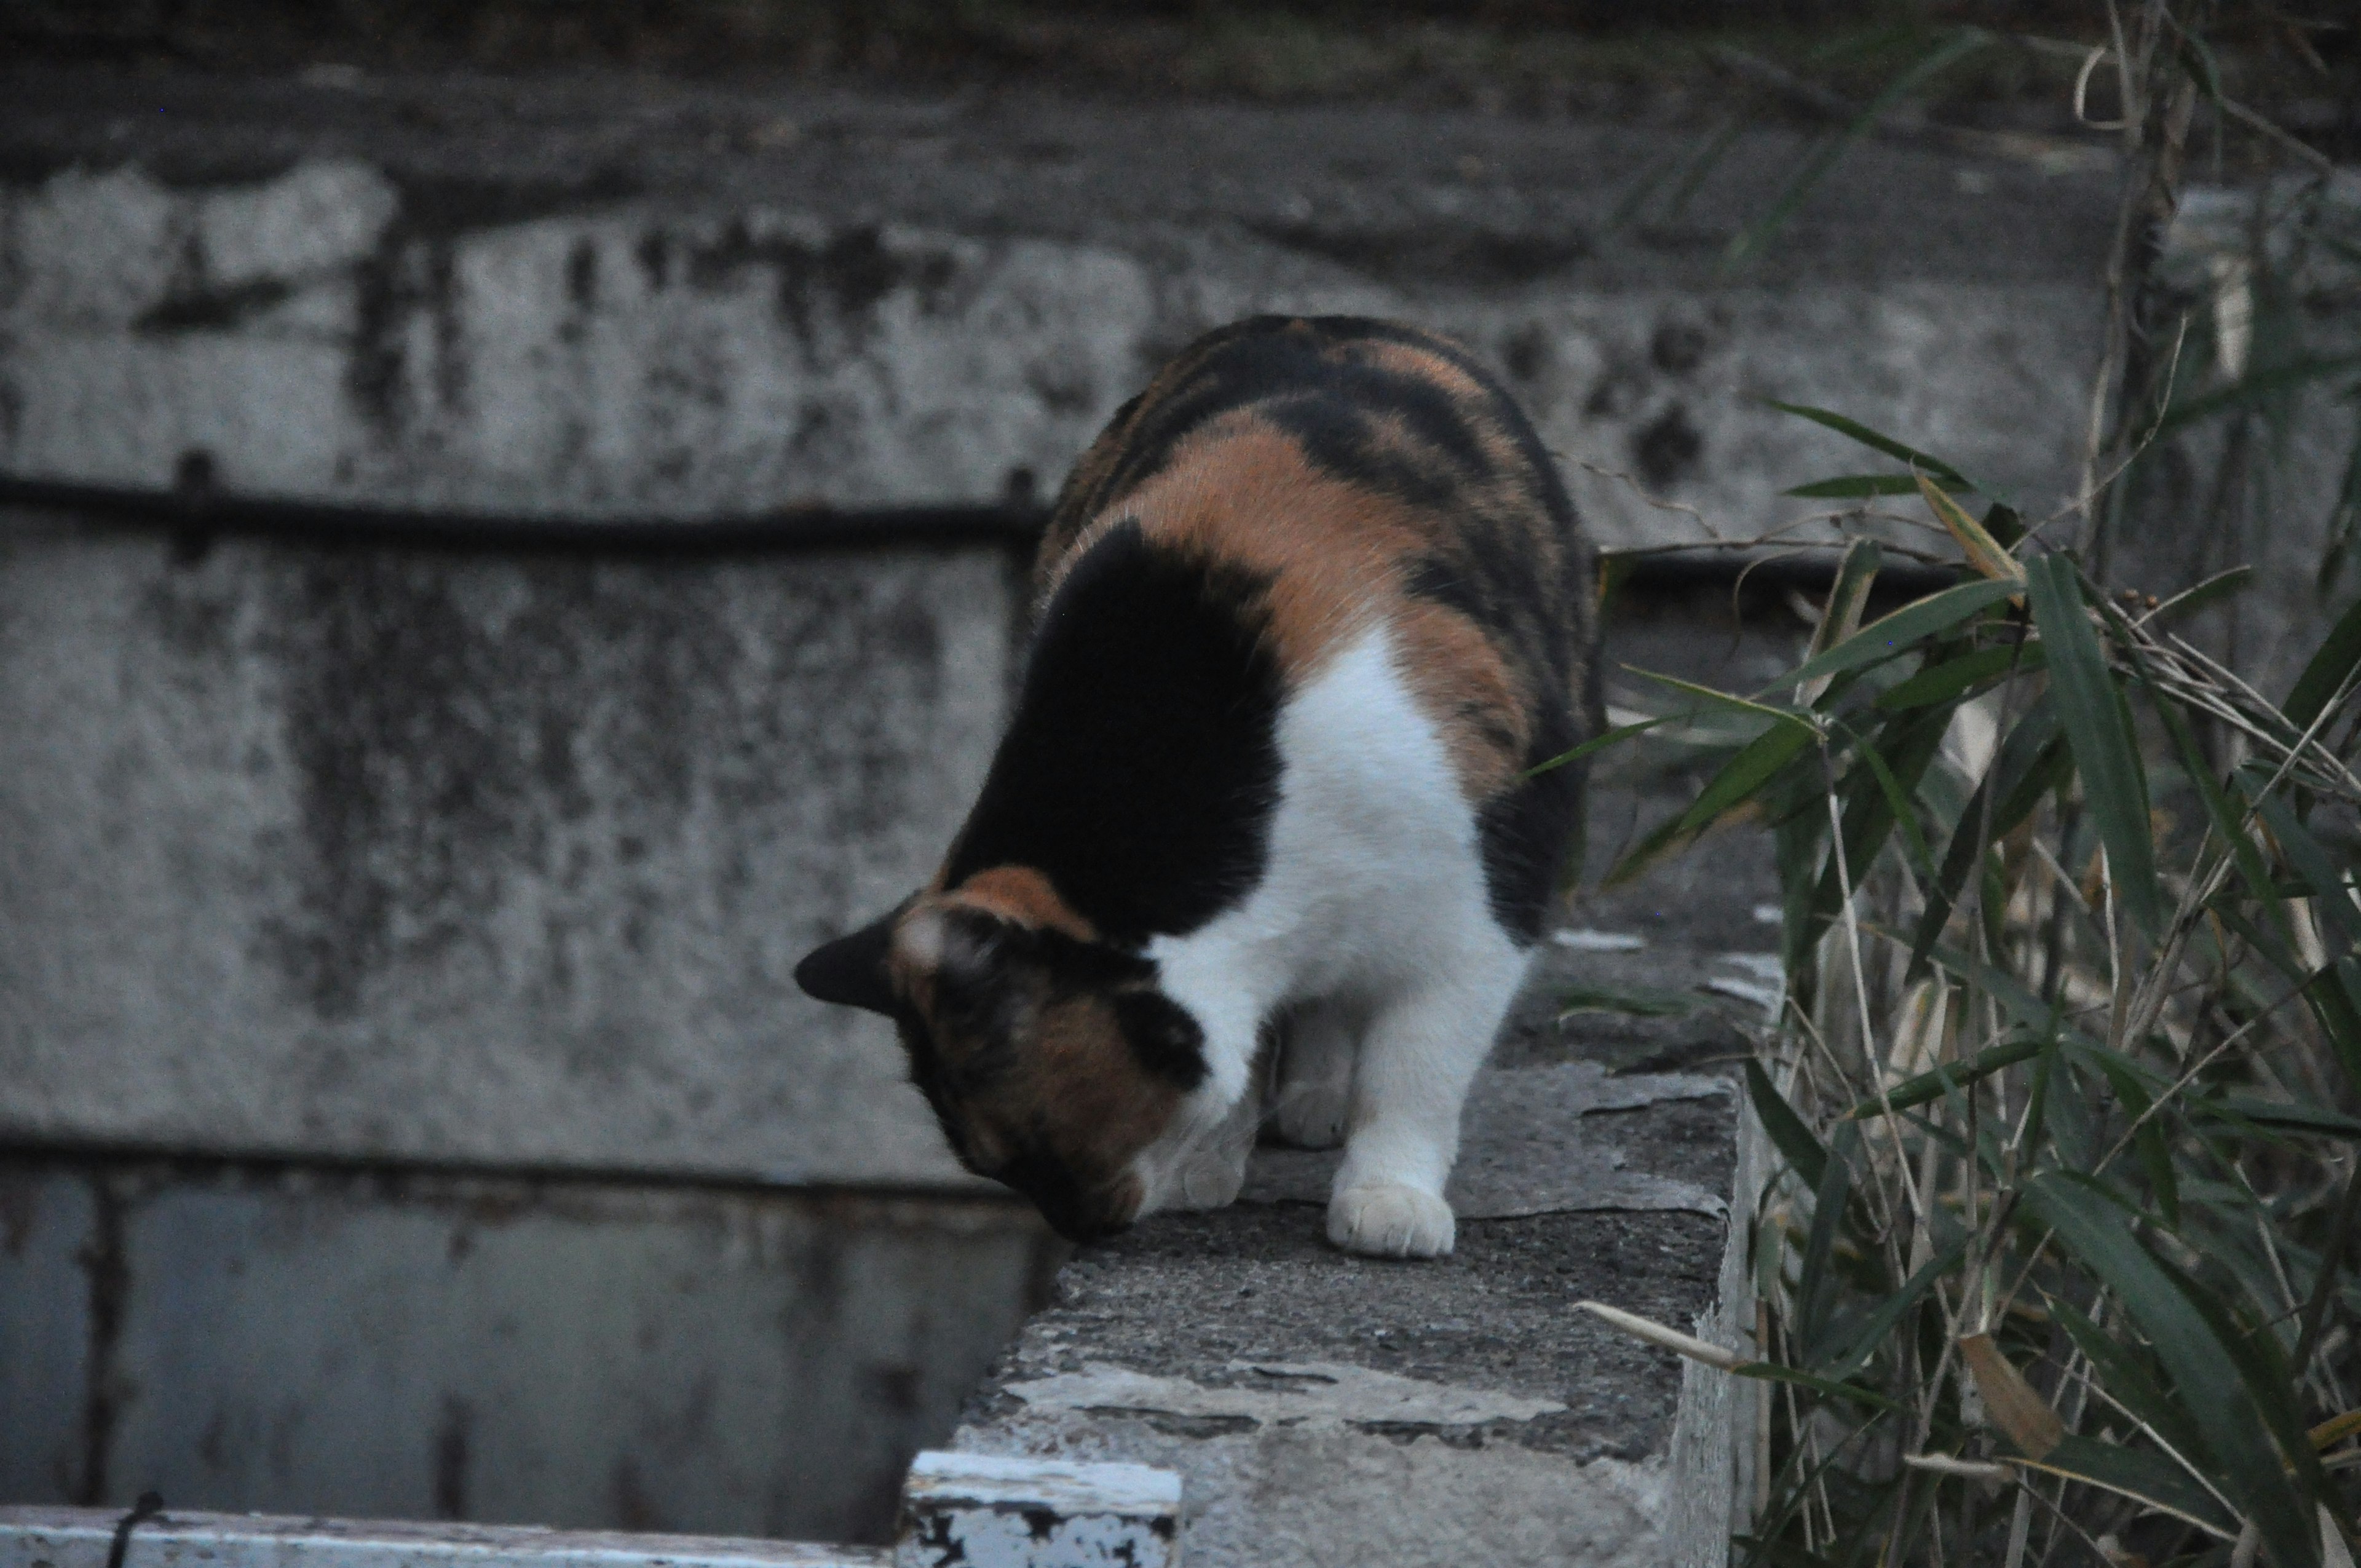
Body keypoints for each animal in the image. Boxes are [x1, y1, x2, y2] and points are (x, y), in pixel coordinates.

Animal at [797, 311, 1605, 1256]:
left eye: (1025, 1147)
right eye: (992, 1166)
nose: (1076, 1227)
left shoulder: (1481, 912)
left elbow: (1417, 1068)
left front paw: (1389, 1196)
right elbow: (1253, 1046)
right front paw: (1213, 1159)